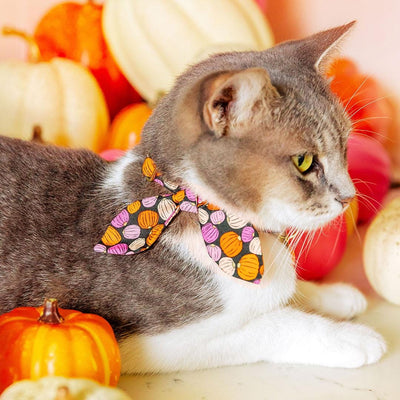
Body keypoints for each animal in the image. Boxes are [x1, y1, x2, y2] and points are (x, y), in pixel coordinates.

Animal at [0, 22, 388, 372]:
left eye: (345, 148)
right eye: (304, 161)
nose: (349, 196)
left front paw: (334, 294)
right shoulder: (147, 342)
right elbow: (271, 323)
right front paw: (350, 337)